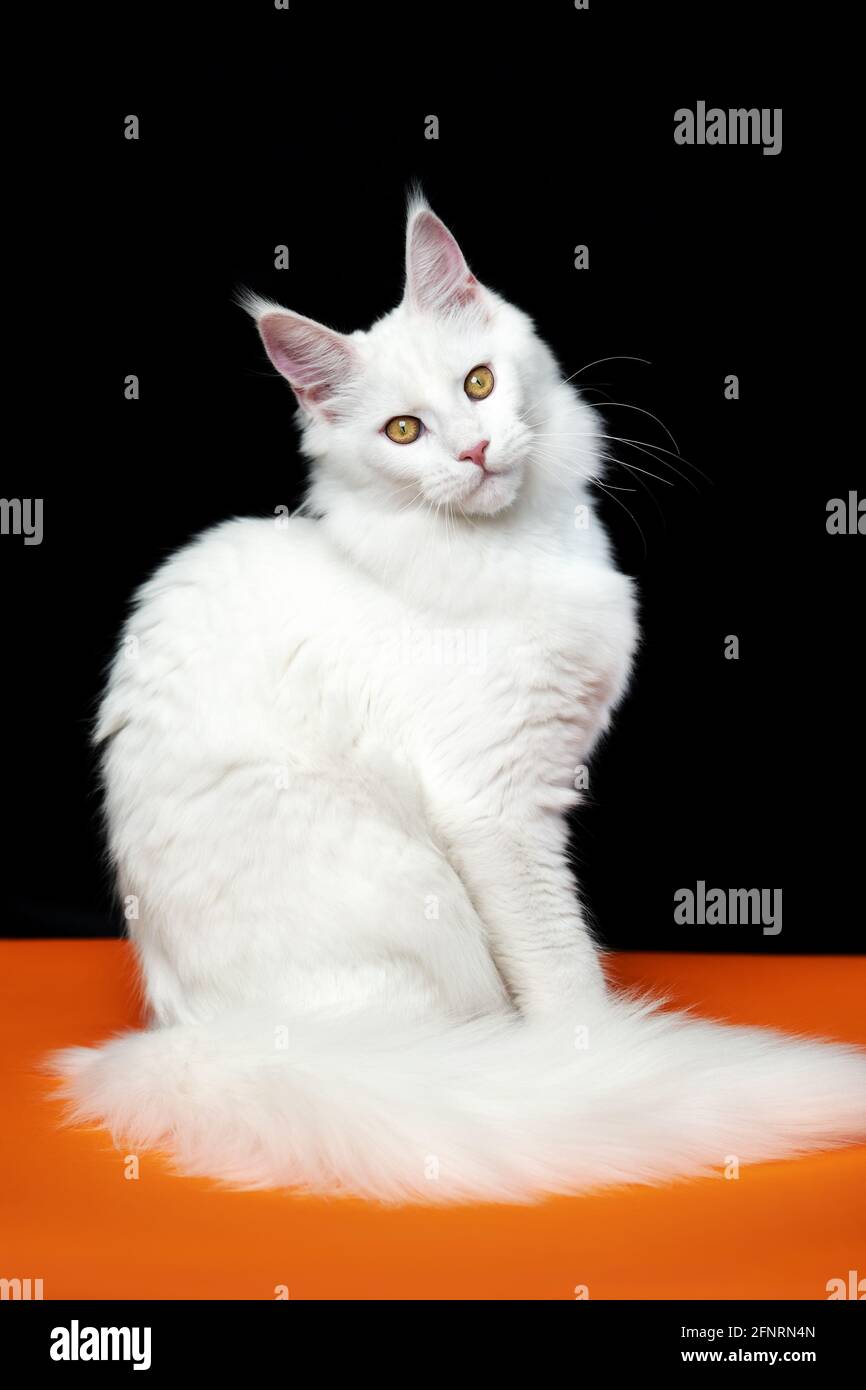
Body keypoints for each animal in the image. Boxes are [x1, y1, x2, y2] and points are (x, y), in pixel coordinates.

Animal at [52, 198, 866, 1206]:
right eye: (404, 432)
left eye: (479, 384)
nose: (475, 451)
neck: (519, 548)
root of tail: (194, 1039)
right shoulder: (497, 805)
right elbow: (560, 968)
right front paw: (592, 1052)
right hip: (411, 891)